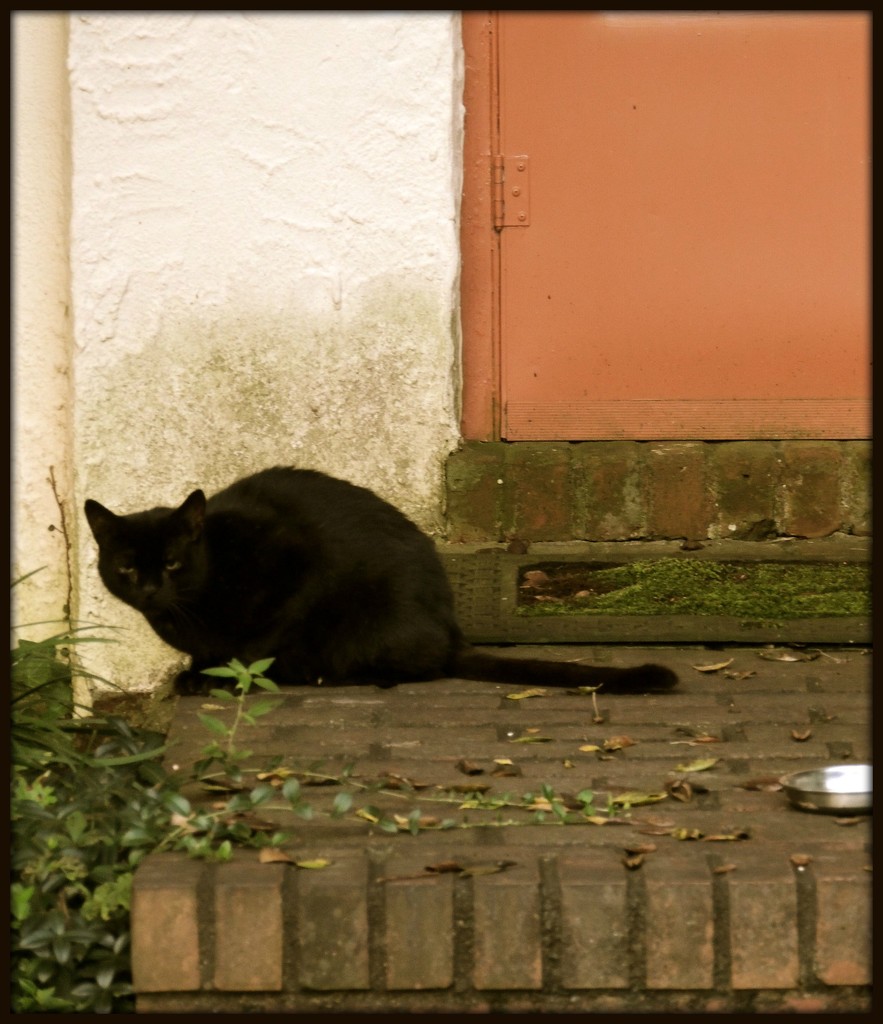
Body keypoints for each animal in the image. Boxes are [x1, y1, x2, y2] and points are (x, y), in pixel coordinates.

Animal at [84, 466, 676, 696]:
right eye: (127, 568)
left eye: (173, 563)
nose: (149, 589)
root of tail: (451, 632)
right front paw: (196, 670)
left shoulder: (297, 568)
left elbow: (256, 643)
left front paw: (224, 678)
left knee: (414, 667)